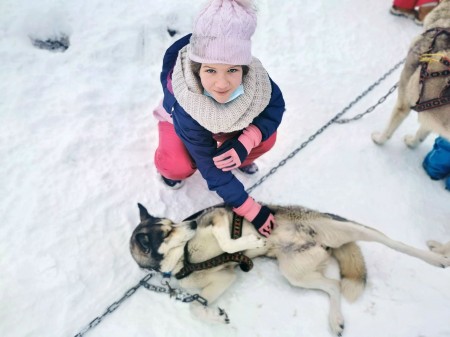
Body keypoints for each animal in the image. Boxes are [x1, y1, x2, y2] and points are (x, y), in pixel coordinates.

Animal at [128, 202, 448, 336]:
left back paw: (436, 257)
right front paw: (216, 316)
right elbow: (196, 307)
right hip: (295, 273)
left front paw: (249, 240)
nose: (192, 223)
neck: (186, 258)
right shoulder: (224, 278)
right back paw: (335, 320)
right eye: (167, 231)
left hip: (345, 229)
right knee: (333, 286)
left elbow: (228, 240)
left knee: (392, 242)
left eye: (172, 223)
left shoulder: (218, 218)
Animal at [372, 0, 450, 147]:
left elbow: (388, 130)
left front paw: (379, 139)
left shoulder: (404, 103)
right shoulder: (430, 116)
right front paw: (412, 143)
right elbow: (421, 135)